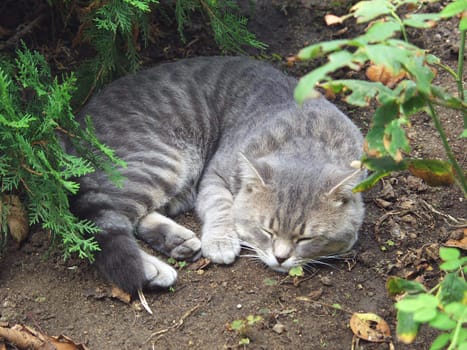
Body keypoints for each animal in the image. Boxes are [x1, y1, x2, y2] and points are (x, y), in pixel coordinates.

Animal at [68, 56, 366, 294]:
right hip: (162, 164)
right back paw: (152, 269)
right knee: (102, 222)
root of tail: (71, 129)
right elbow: (222, 206)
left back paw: (176, 241)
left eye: (305, 239)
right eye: (266, 230)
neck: (306, 139)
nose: (281, 258)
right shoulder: (214, 175)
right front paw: (222, 240)